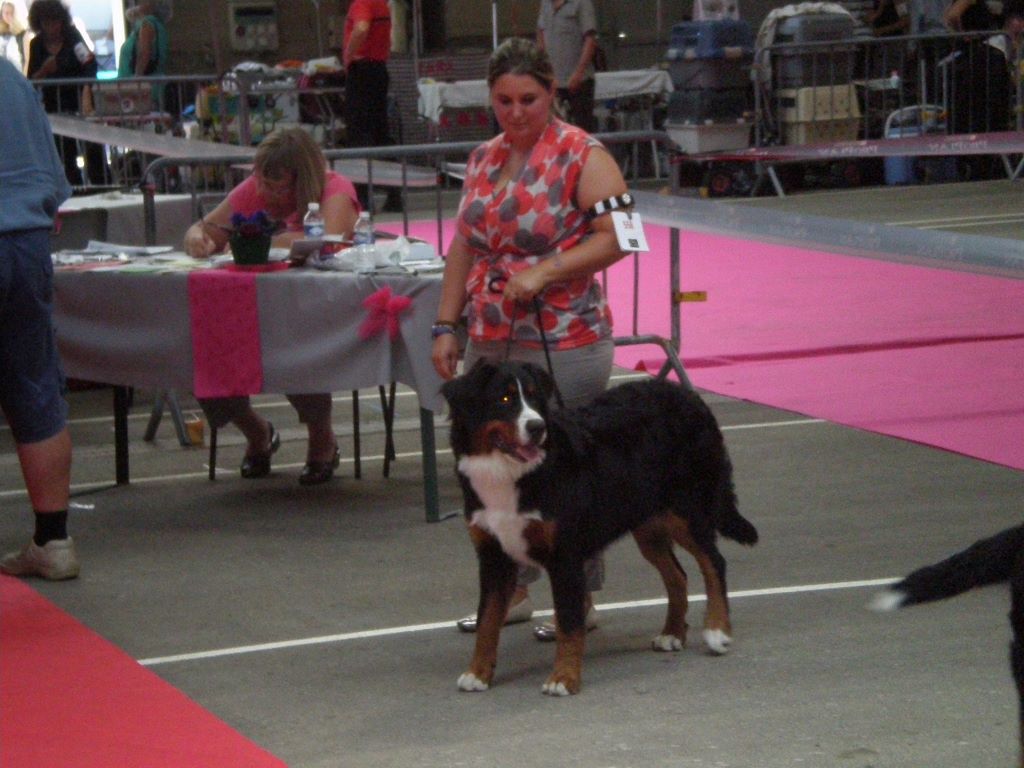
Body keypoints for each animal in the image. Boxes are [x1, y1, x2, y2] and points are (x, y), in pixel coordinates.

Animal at [440, 360, 761, 696]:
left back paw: (717, 630)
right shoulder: (494, 556)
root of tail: (689, 396)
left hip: (687, 510)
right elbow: (487, 620)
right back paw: (672, 633)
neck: (509, 474)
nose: (537, 427)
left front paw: (563, 678)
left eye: (535, 397)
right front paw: (477, 673)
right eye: (504, 399)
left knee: (714, 563)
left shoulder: (564, 555)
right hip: (648, 526)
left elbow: (569, 624)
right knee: (677, 576)